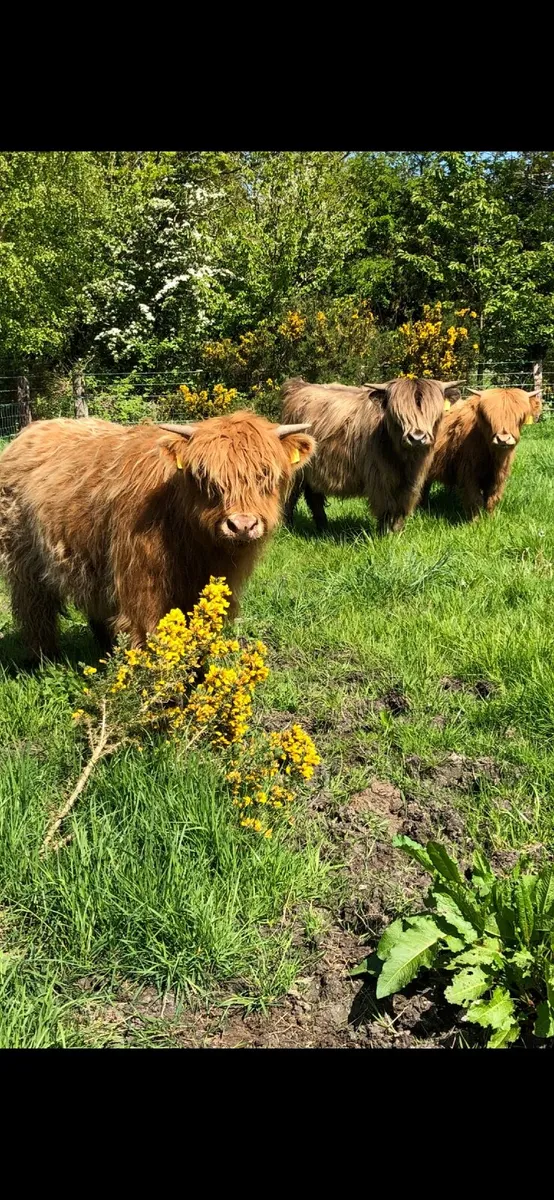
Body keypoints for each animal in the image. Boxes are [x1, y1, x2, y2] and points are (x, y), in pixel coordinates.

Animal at [0, 411, 315, 659]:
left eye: (265, 476)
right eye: (206, 479)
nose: (241, 525)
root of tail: (30, 431)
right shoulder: (142, 585)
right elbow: (150, 636)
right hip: (23, 562)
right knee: (34, 609)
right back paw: (44, 660)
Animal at [281, 376, 462, 535]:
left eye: (434, 413)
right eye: (397, 415)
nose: (417, 438)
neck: (404, 460)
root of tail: (299, 386)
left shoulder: (412, 483)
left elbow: (401, 508)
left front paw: (398, 533)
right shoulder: (380, 479)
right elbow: (386, 508)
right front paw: (385, 535)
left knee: (314, 496)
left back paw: (323, 529)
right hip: (297, 471)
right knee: (290, 497)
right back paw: (288, 528)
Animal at [421, 387, 542, 520]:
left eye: (520, 418)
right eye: (488, 418)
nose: (503, 439)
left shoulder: (498, 477)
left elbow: (492, 498)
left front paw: (490, 518)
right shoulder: (468, 473)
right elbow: (475, 499)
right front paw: (476, 521)